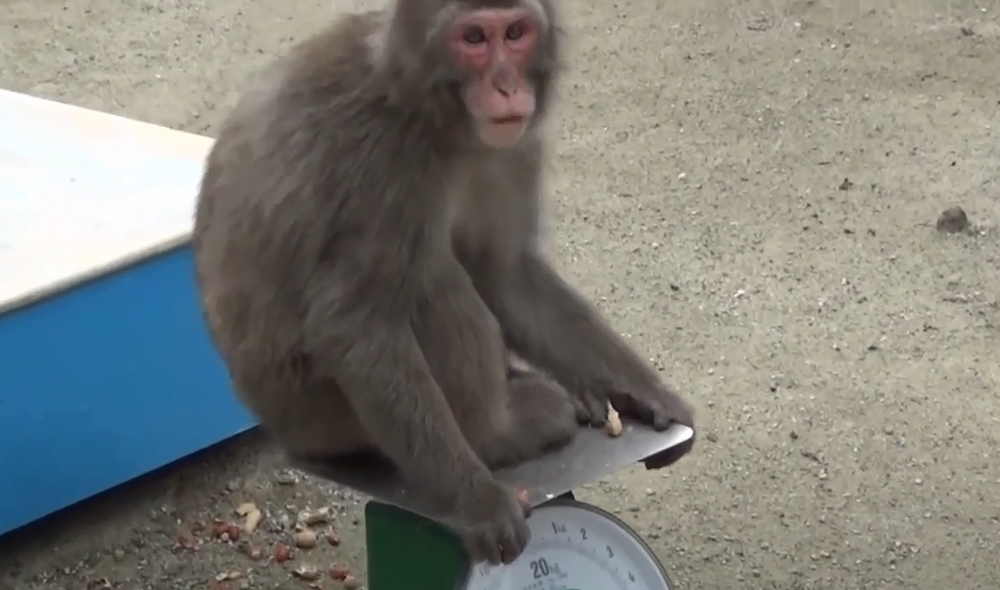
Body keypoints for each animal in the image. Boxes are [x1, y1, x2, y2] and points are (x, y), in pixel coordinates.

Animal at [195, 0, 696, 568]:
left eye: (516, 33)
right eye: (473, 38)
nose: (506, 85)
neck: (441, 122)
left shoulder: (515, 146)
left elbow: (504, 271)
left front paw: (647, 391)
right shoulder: (385, 164)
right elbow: (355, 322)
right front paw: (479, 504)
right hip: (320, 414)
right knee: (428, 277)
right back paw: (502, 434)